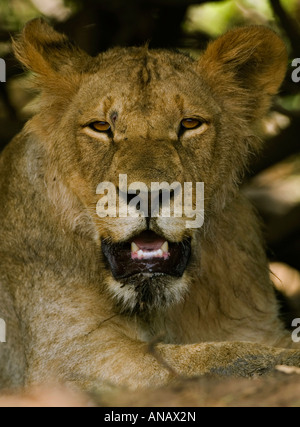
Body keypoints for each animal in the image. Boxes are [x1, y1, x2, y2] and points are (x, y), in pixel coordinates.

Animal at [0, 20, 300, 392]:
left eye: (190, 124)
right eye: (101, 126)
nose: (147, 195)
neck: (159, 307)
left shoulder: (255, 324)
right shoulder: (68, 356)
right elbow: (219, 356)